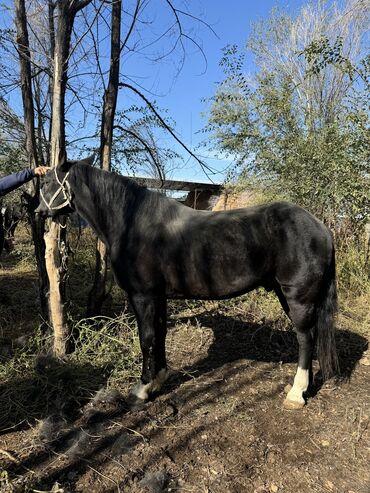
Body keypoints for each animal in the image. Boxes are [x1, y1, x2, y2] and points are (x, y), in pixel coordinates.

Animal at [36, 158, 340, 408]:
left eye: (48, 182)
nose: (38, 211)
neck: (133, 222)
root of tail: (321, 227)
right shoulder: (158, 297)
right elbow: (159, 334)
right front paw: (158, 380)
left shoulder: (143, 296)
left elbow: (146, 338)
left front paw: (142, 389)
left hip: (298, 298)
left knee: (305, 338)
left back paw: (296, 394)